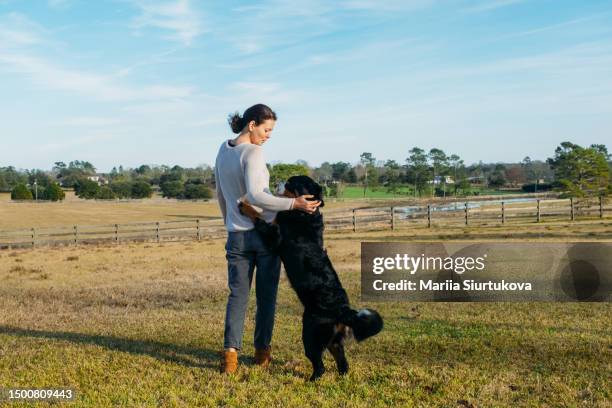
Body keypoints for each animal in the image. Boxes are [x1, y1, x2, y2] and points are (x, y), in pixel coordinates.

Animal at [239, 176, 382, 382]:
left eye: (290, 182)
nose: (277, 181)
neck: (304, 213)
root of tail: (343, 309)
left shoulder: (274, 237)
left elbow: (258, 218)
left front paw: (245, 205)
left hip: (310, 333)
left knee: (319, 364)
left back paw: (311, 380)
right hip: (333, 339)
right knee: (342, 361)